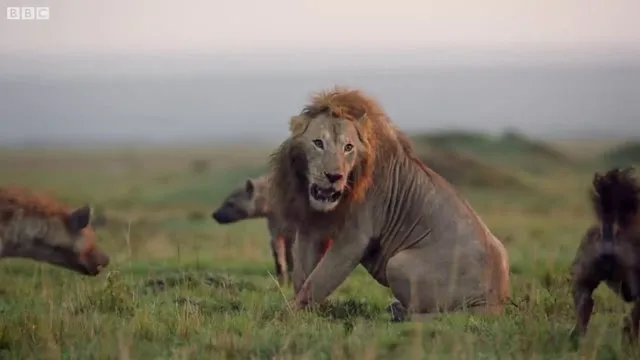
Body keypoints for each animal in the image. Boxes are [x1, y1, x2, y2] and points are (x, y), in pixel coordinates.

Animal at [268, 87, 510, 320]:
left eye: (348, 147)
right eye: (318, 143)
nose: (334, 176)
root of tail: (495, 302)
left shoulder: (354, 237)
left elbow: (317, 281)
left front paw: (284, 315)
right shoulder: (310, 226)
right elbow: (302, 276)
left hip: (398, 263)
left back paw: (398, 313)